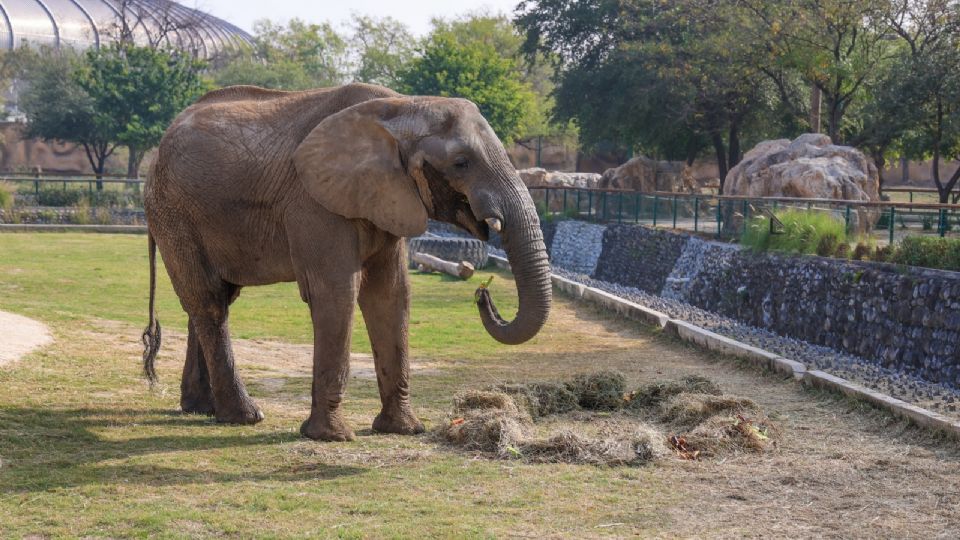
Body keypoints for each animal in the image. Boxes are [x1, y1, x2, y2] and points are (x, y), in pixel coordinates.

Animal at [139, 82, 552, 440]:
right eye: (462, 162)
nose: (482, 292)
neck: (403, 108)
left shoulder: (388, 196)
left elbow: (391, 294)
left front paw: (403, 430)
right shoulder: (314, 200)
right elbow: (337, 291)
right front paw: (331, 437)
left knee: (214, 299)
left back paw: (200, 409)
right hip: (174, 213)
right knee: (209, 301)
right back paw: (244, 416)